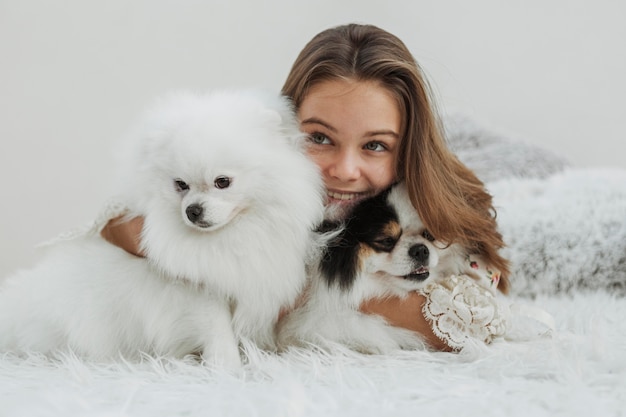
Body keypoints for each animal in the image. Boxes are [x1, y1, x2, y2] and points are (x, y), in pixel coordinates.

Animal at [0, 89, 322, 366]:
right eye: (180, 185)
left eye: (222, 182)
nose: (193, 210)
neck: (229, 237)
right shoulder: (198, 291)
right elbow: (218, 329)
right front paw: (227, 365)